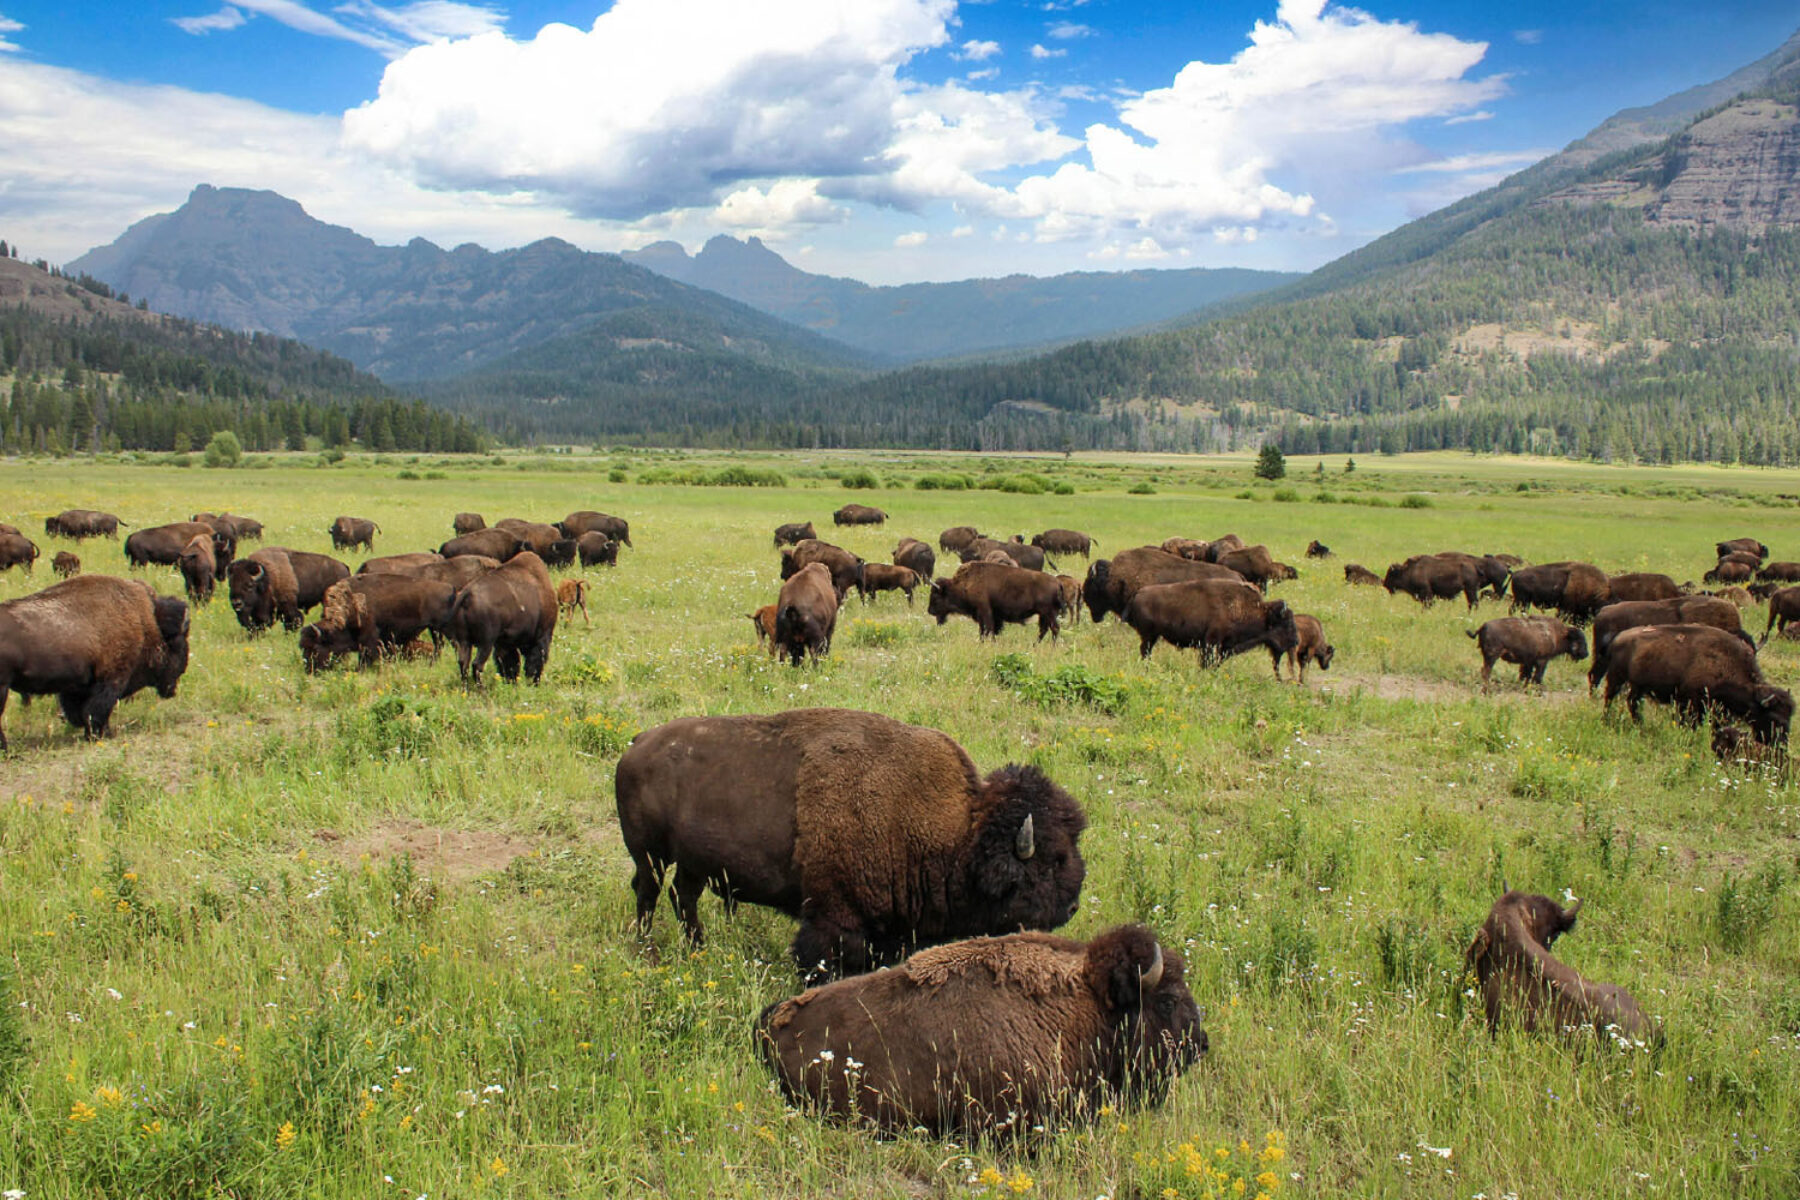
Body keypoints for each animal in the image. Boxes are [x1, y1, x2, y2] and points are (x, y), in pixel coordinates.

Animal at [0, 575, 189, 751]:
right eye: (178, 643)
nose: (183, 669)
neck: (146, 622)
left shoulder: (77, 687)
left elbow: (80, 713)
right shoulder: (112, 679)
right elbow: (97, 710)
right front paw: (103, 734)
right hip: (3, 688)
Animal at [448, 551, 557, 684]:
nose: (534, 682)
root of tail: (467, 593)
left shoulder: (505, 643)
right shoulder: (542, 635)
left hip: (465, 641)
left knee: (464, 663)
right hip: (486, 642)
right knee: (477, 664)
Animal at [614, 707, 1087, 981]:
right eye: (1052, 860)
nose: (1072, 908)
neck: (958, 832)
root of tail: (636, 744)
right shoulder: (833, 918)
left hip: (692, 861)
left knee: (683, 897)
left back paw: (699, 948)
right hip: (649, 855)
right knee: (648, 893)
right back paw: (647, 950)